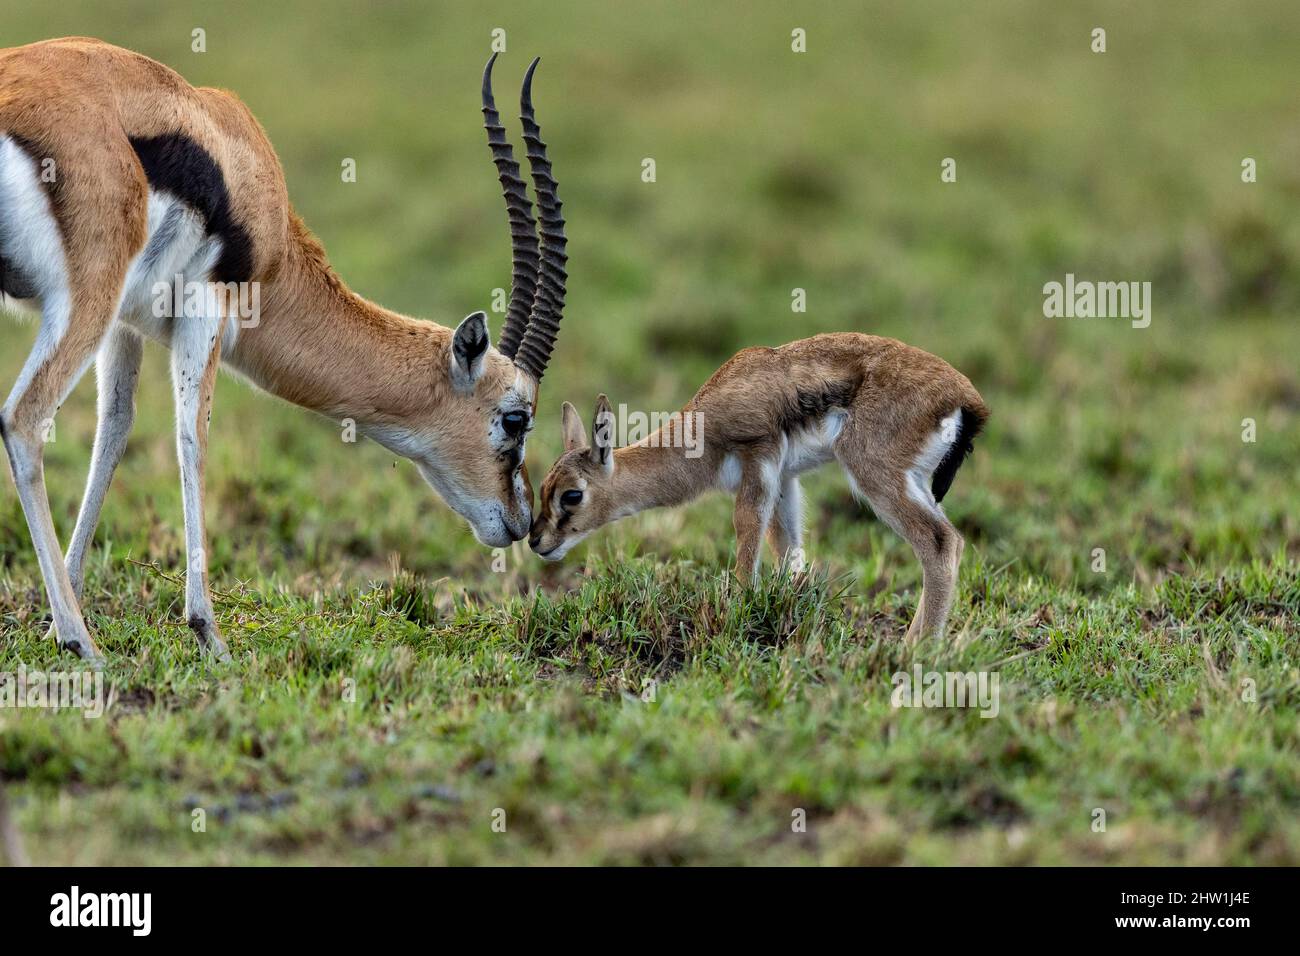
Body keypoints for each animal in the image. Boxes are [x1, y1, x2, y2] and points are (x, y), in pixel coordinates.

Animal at [0, 38, 568, 662]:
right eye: (515, 419)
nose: (522, 521)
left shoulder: (125, 325)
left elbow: (114, 432)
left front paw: (60, 614)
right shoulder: (206, 308)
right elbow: (192, 440)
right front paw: (208, 633)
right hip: (85, 300)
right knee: (24, 419)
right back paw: (84, 645)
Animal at [530, 334, 990, 640]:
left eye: (572, 494)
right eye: (542, 488)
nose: (536, 541)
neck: (705, 422)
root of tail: (965, 396)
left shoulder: (759, 459)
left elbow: (747, 532)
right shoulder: (784, 478)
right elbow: (788, 550)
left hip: (877, 475)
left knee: (941, 542)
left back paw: (915, 646)